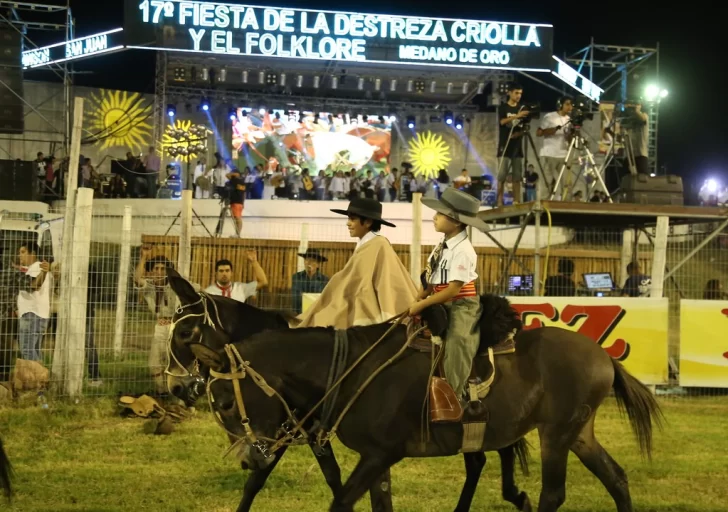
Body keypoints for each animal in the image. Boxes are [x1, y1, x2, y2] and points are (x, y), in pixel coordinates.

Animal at [165, 270, 532, 512]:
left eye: (184, 332)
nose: (176, 385)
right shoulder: (299, 437)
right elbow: (328, 477)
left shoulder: (282, 436)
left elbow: (263, 478)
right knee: (481, 459)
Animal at [188, 294, 664, 512]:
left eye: (226, 403)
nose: (250, 459)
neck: (353, 368)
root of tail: (603, 356)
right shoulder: (375, 461)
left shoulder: (380, 454)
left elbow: (341, 503)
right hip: (579, 433)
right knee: (616, 477)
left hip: (556, 434)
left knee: (553, 493)